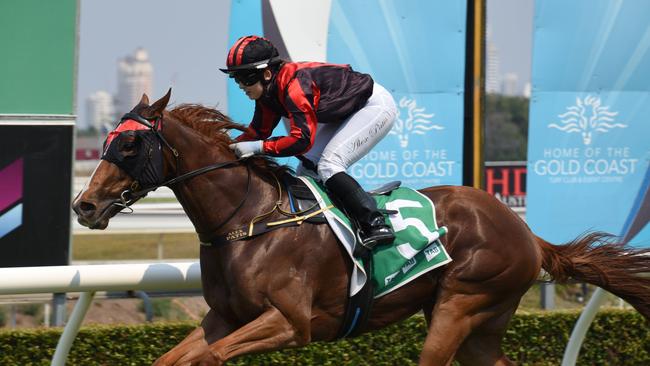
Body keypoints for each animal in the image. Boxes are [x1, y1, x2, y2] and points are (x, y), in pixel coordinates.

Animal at [72, 90, 648, 364]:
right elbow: (175, 358)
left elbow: (213, 358)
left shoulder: (290, 323)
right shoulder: (226, 318)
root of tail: (526, 231)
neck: (248, 219)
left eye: (129, 144)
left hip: (462, 302)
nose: (84, 205)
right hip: (481, 327)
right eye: (104, 142)